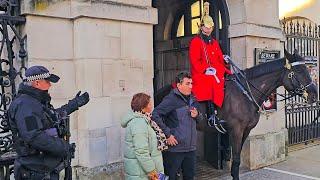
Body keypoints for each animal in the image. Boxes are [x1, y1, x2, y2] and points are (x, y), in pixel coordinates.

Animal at [154, 49, 318, 180]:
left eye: (307, 69)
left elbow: (238, 159)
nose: (314, 95)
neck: (245, 94)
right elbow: (237, 159)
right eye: (299, 72)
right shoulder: (236, 131)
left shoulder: (246, 131)